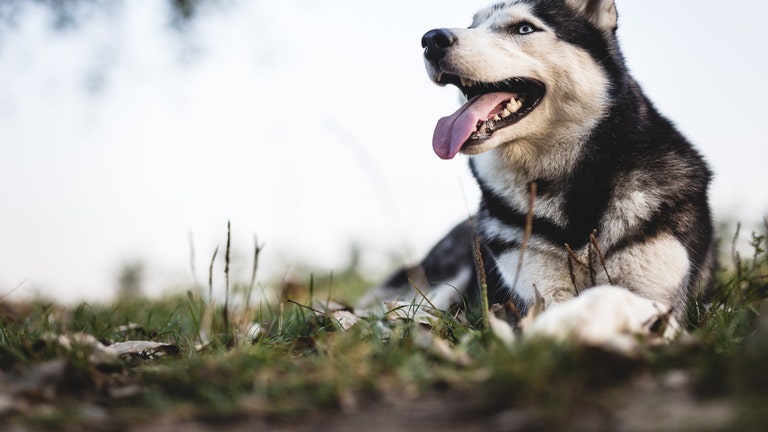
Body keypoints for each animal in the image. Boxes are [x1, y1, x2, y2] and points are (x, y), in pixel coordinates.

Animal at [360, 0, 712, 324]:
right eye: (473, 25)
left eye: (524, 28)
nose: (431, 39)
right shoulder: (537, 289)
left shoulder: (655, 291)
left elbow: (613, 301)